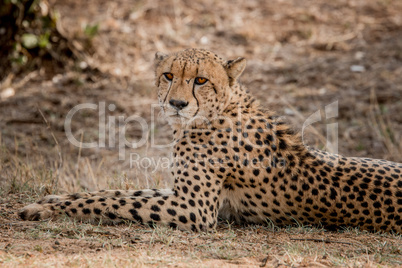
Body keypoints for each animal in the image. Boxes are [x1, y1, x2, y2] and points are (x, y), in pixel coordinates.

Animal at [19, 49, 402, 233]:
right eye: (168, 75)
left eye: (200, 80)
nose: (177, 104)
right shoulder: (181, 194)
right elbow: (117, 192)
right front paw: (54, 198)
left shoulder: (194, 209)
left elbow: (113, 201)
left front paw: (45, 208)